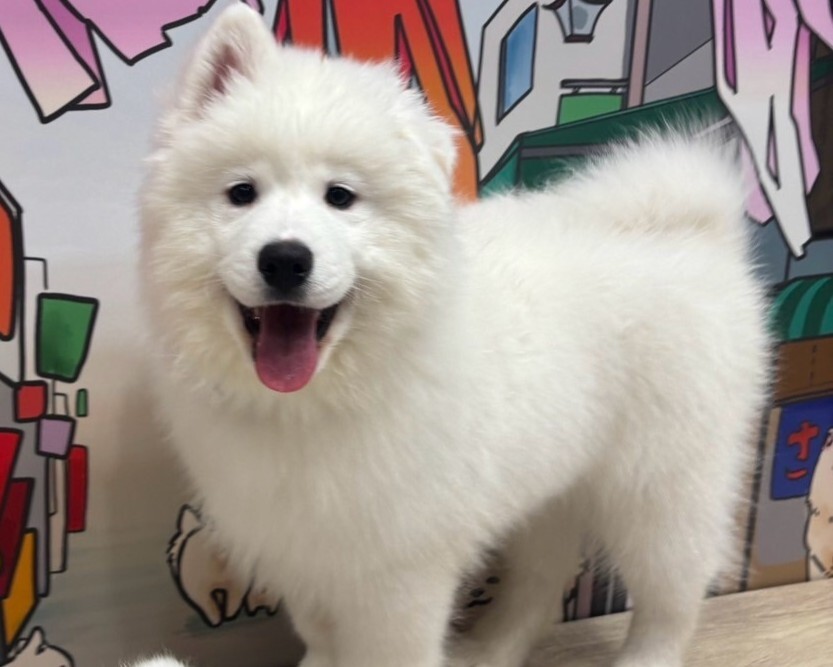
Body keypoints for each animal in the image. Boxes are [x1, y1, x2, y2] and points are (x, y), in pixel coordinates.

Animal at [128, 5, 770, 666]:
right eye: (241, 193)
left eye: (340, 198)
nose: (284, 258)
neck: (319, 400)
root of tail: (696, 229)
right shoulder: (304, 553)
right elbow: (321, 639)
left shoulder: (398, 575)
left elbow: (386, 652)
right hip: (554, 487)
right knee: (541, 581)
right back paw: (490, 649)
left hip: (662, 486)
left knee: (672, 595)